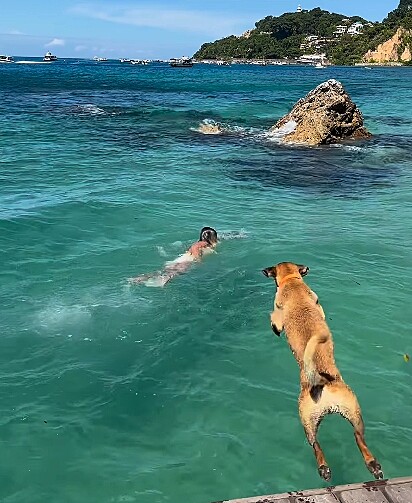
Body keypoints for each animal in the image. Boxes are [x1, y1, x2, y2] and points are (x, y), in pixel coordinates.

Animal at [262, 262, 382, 482]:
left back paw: (324, 468)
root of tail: (322, 383)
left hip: (306, 420)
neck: (292, 282)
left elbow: (274, 321)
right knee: (358, 438)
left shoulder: (277, 314)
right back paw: (372, 464)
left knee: (316, 446)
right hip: (354, 413)